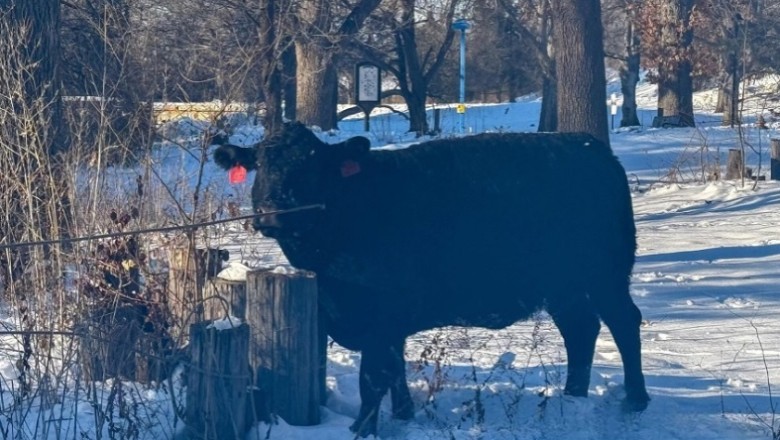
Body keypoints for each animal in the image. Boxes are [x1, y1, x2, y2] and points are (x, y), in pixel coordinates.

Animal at [213, 122, 650, 437]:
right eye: (261, 163)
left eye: (311, 164)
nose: (272, 211)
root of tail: (589, 146)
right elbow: (395, 368)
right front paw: (404, 414)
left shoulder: (379, 315)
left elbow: (374, 377)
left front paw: (361, 429)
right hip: (565, 287)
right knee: (581, 329)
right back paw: (573, 394)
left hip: (605, 276)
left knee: (623, 323)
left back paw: (635, 399)